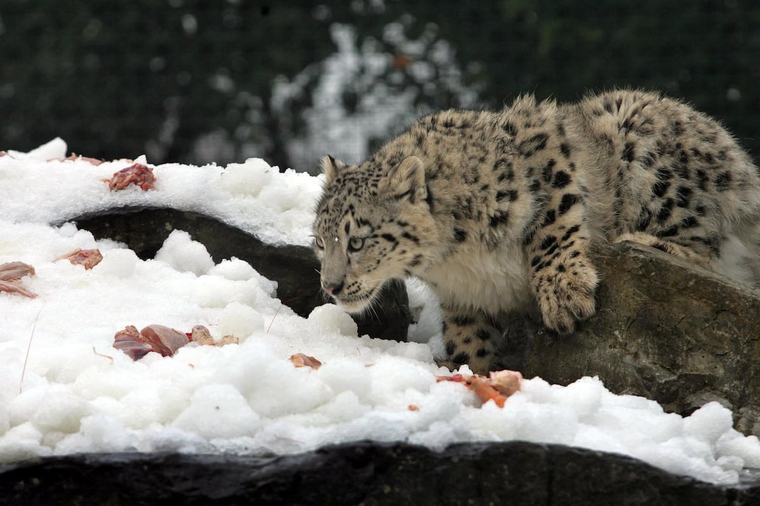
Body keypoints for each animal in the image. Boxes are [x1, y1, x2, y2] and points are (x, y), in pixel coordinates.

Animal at [312, 89, 760, 374]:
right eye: (319, 241)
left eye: (357, 241)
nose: (331, 286)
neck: (454, 261)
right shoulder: (465, 295)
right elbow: (469, 335)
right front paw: (472, 367)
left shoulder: (545, 151)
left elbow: (553, 225)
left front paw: (564, 296)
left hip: (653, 158)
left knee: (708, 248)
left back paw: (647, 241)